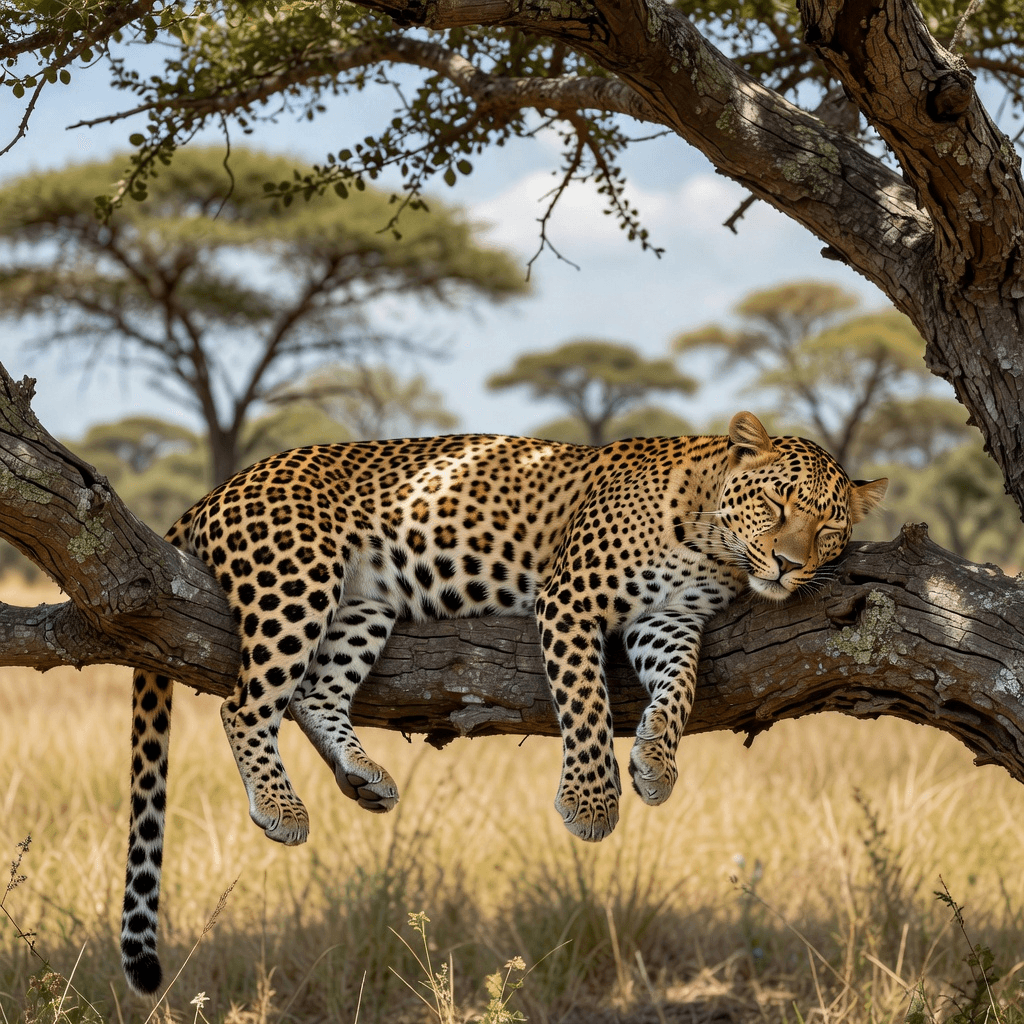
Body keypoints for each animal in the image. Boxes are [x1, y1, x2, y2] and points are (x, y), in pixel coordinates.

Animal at [119, 411, 886, 995]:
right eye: (778, 504)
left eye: (829, 530)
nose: (789, 565)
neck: (713, 548)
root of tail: (220, 487)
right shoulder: (573, 598)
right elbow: (585, 703)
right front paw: (591, 802)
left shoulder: (667, 621)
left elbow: (680, 691)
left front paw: (656, 763)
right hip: (299, 580)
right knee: (246, 704)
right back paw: (281, 806)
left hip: (364, 604)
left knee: (314, 693)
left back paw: (362, 776)